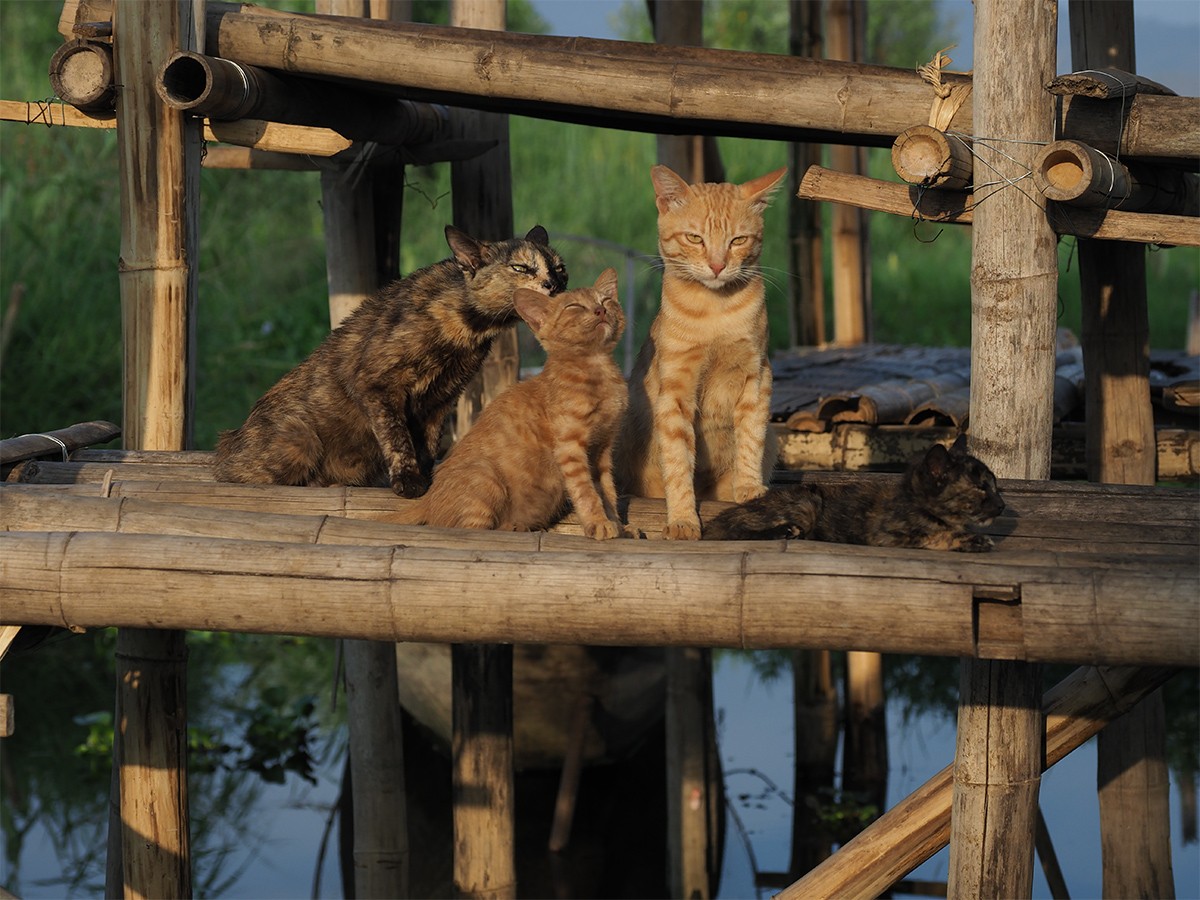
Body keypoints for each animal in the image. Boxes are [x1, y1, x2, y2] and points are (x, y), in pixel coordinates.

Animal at [213, 224, 564, 494]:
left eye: (560, 268)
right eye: (520, 268)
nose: (554, 284)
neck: (467, 329)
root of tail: (228, 438)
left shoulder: (442, 398)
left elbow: (428, 443)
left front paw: (427, 477)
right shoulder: (377, 384)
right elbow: (398, 437)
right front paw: (408, 482)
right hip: (299, 436)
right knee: (236, 476)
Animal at [398, 271, 633, 540]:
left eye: (606, 301)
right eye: (574, 307)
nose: (600, 310)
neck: (598, 371)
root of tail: (428, 499)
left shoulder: (602, 450)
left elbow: (608, 491)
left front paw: (618, 525)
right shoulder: (570, 448)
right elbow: (587, 492)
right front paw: (599, 523)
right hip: (486, 478)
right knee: (469, 530)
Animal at [619, 164, 787, 540]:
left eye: (738, 241)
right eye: (695, 239)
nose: (717, 265)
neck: (715, 312)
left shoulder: (757, 376)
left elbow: (750, 438)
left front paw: (749, 487)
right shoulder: (675, 390)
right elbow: (678, 461)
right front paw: (682, 519)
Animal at [700, 434, 1003, 554]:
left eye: (995, 484)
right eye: (980, 487)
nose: (1001, 505)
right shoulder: (884, 535)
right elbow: (934, 535)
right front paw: (975, 540)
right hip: (808, 502)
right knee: (729, 532)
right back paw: (784, 531)